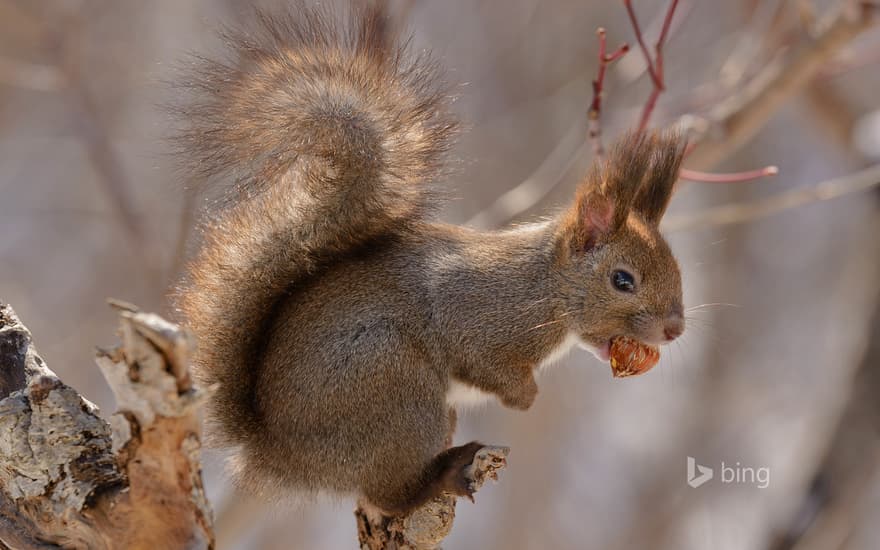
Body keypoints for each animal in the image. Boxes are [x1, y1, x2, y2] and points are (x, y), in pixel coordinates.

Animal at [174, 1, 688, 516]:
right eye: (622, 280)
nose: (675, 330)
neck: (545, 288)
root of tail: (278, 453)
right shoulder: (478, 316)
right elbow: (485, 361)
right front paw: (526, 397)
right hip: (396, 389)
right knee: (389, 496)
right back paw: (443, 475)